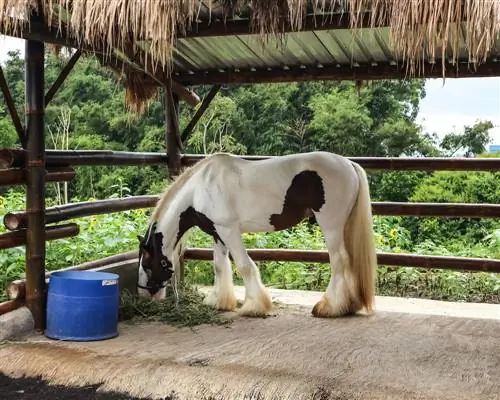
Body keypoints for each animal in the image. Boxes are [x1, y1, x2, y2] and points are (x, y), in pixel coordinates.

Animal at [137, 152, 376, 318]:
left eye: (147, 265)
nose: (145, 295)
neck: (200, 188)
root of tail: (349, 164)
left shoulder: (229, 230)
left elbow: (245, 266)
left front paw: (254, 306)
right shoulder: (217, 233)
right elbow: (219, 266)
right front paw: (219, 301)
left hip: (331, 226)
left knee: (339, 261)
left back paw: (328, 308)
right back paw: (349, 305)